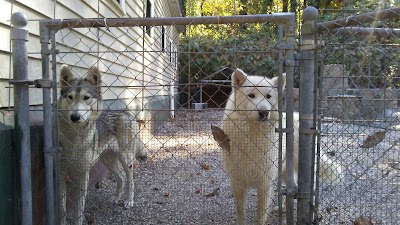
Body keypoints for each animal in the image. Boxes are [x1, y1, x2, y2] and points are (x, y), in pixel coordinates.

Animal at [57, 65, 147, 225]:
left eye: (86, 98)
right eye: (70, 97)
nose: (75, 117)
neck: (74, 138)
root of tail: (126, 113)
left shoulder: (82, 175)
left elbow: (79, 209)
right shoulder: (61, 174)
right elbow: (63, 210)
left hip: (126, 159)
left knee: (130, 180)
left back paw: (128, 201)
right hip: (107, 160)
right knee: (120, 178)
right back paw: (115, 198)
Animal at [217, 68, 342, 225]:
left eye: (268, 96)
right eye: (251, 95)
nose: (264, 112)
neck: (252, 136)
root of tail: (297, 116)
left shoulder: (264, 183)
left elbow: (260, 215)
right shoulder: (237, 182)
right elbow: (241, 213)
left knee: (309, 192)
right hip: (283, 171)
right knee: (291, 189)